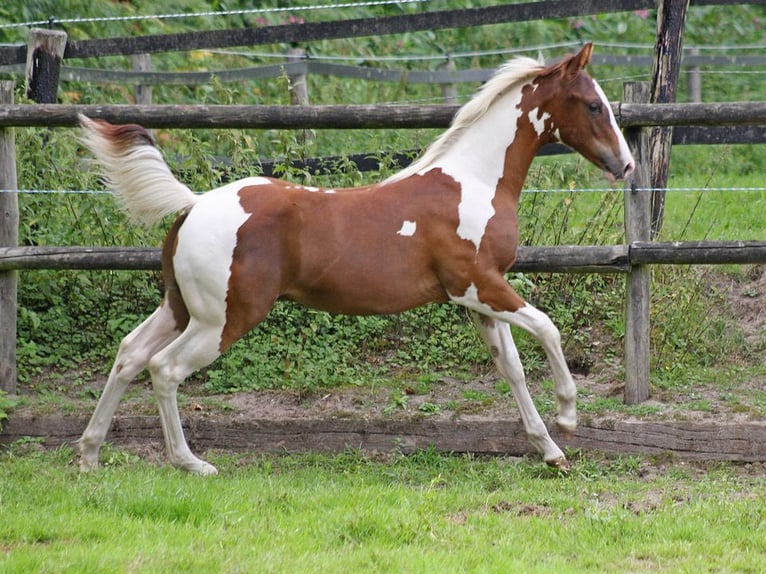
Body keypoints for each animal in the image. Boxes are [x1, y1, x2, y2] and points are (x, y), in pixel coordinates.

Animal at [77, 43, 634, 475]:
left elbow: (512, 369)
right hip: (224, 318)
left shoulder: (478, 299)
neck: (473, 181)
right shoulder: (478, 284)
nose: (625, 164)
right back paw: (190, 462)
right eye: (592, 105)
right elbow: (548, 329)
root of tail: (193, 204)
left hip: (180, 307)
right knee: (164, 368)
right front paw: (567, 417)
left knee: (129, 354)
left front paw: (550, 451)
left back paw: (88, 453)